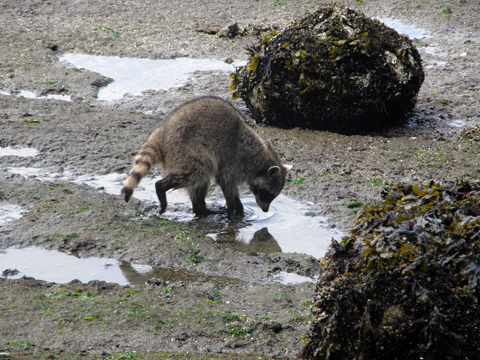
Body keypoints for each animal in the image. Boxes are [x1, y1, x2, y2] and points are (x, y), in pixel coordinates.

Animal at [122, 95, 290, 218]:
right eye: (268, 194)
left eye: (272, 196)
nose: (265, 211)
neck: (259, 160)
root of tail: (162, 132)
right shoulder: (235, 160)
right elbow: (227, 184)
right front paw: (232, 209)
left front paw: (238, 206)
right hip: (187, 150)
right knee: (197, 171)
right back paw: (162, 188)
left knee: (199, 182)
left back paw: (200, 208)